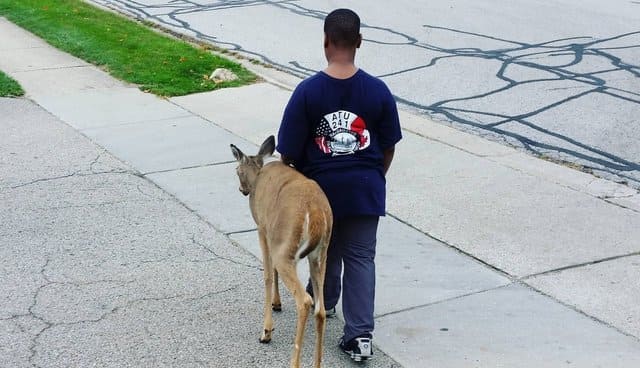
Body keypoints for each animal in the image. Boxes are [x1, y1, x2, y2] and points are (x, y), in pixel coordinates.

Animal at [230, 136, 332, 368]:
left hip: (286, 247)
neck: (258, 175)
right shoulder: (272, 236)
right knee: (320, 309)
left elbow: (267, 274)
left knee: (304, 301)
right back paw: (317, 363)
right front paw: (277, 303)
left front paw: (266, 330)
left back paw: (293, 362)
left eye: (236, 170)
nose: (242, 190)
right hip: (320, 253)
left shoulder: (262, 228)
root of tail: (316, 212)